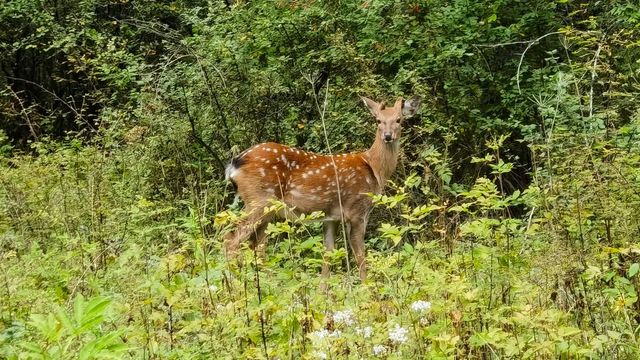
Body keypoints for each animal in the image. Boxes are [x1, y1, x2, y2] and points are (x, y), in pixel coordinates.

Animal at [224, 96, 420, 282]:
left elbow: (328, 255)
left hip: (266, 209)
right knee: (231, 239)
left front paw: (323, 292)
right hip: (259, 200)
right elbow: (360, 257)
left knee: (257, 245)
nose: (387, 136)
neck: (374, 169)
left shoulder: (331, 217)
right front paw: (368, 288)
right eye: (378, 120)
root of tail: (235, 164)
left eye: (399, 119)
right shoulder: (357, 210)